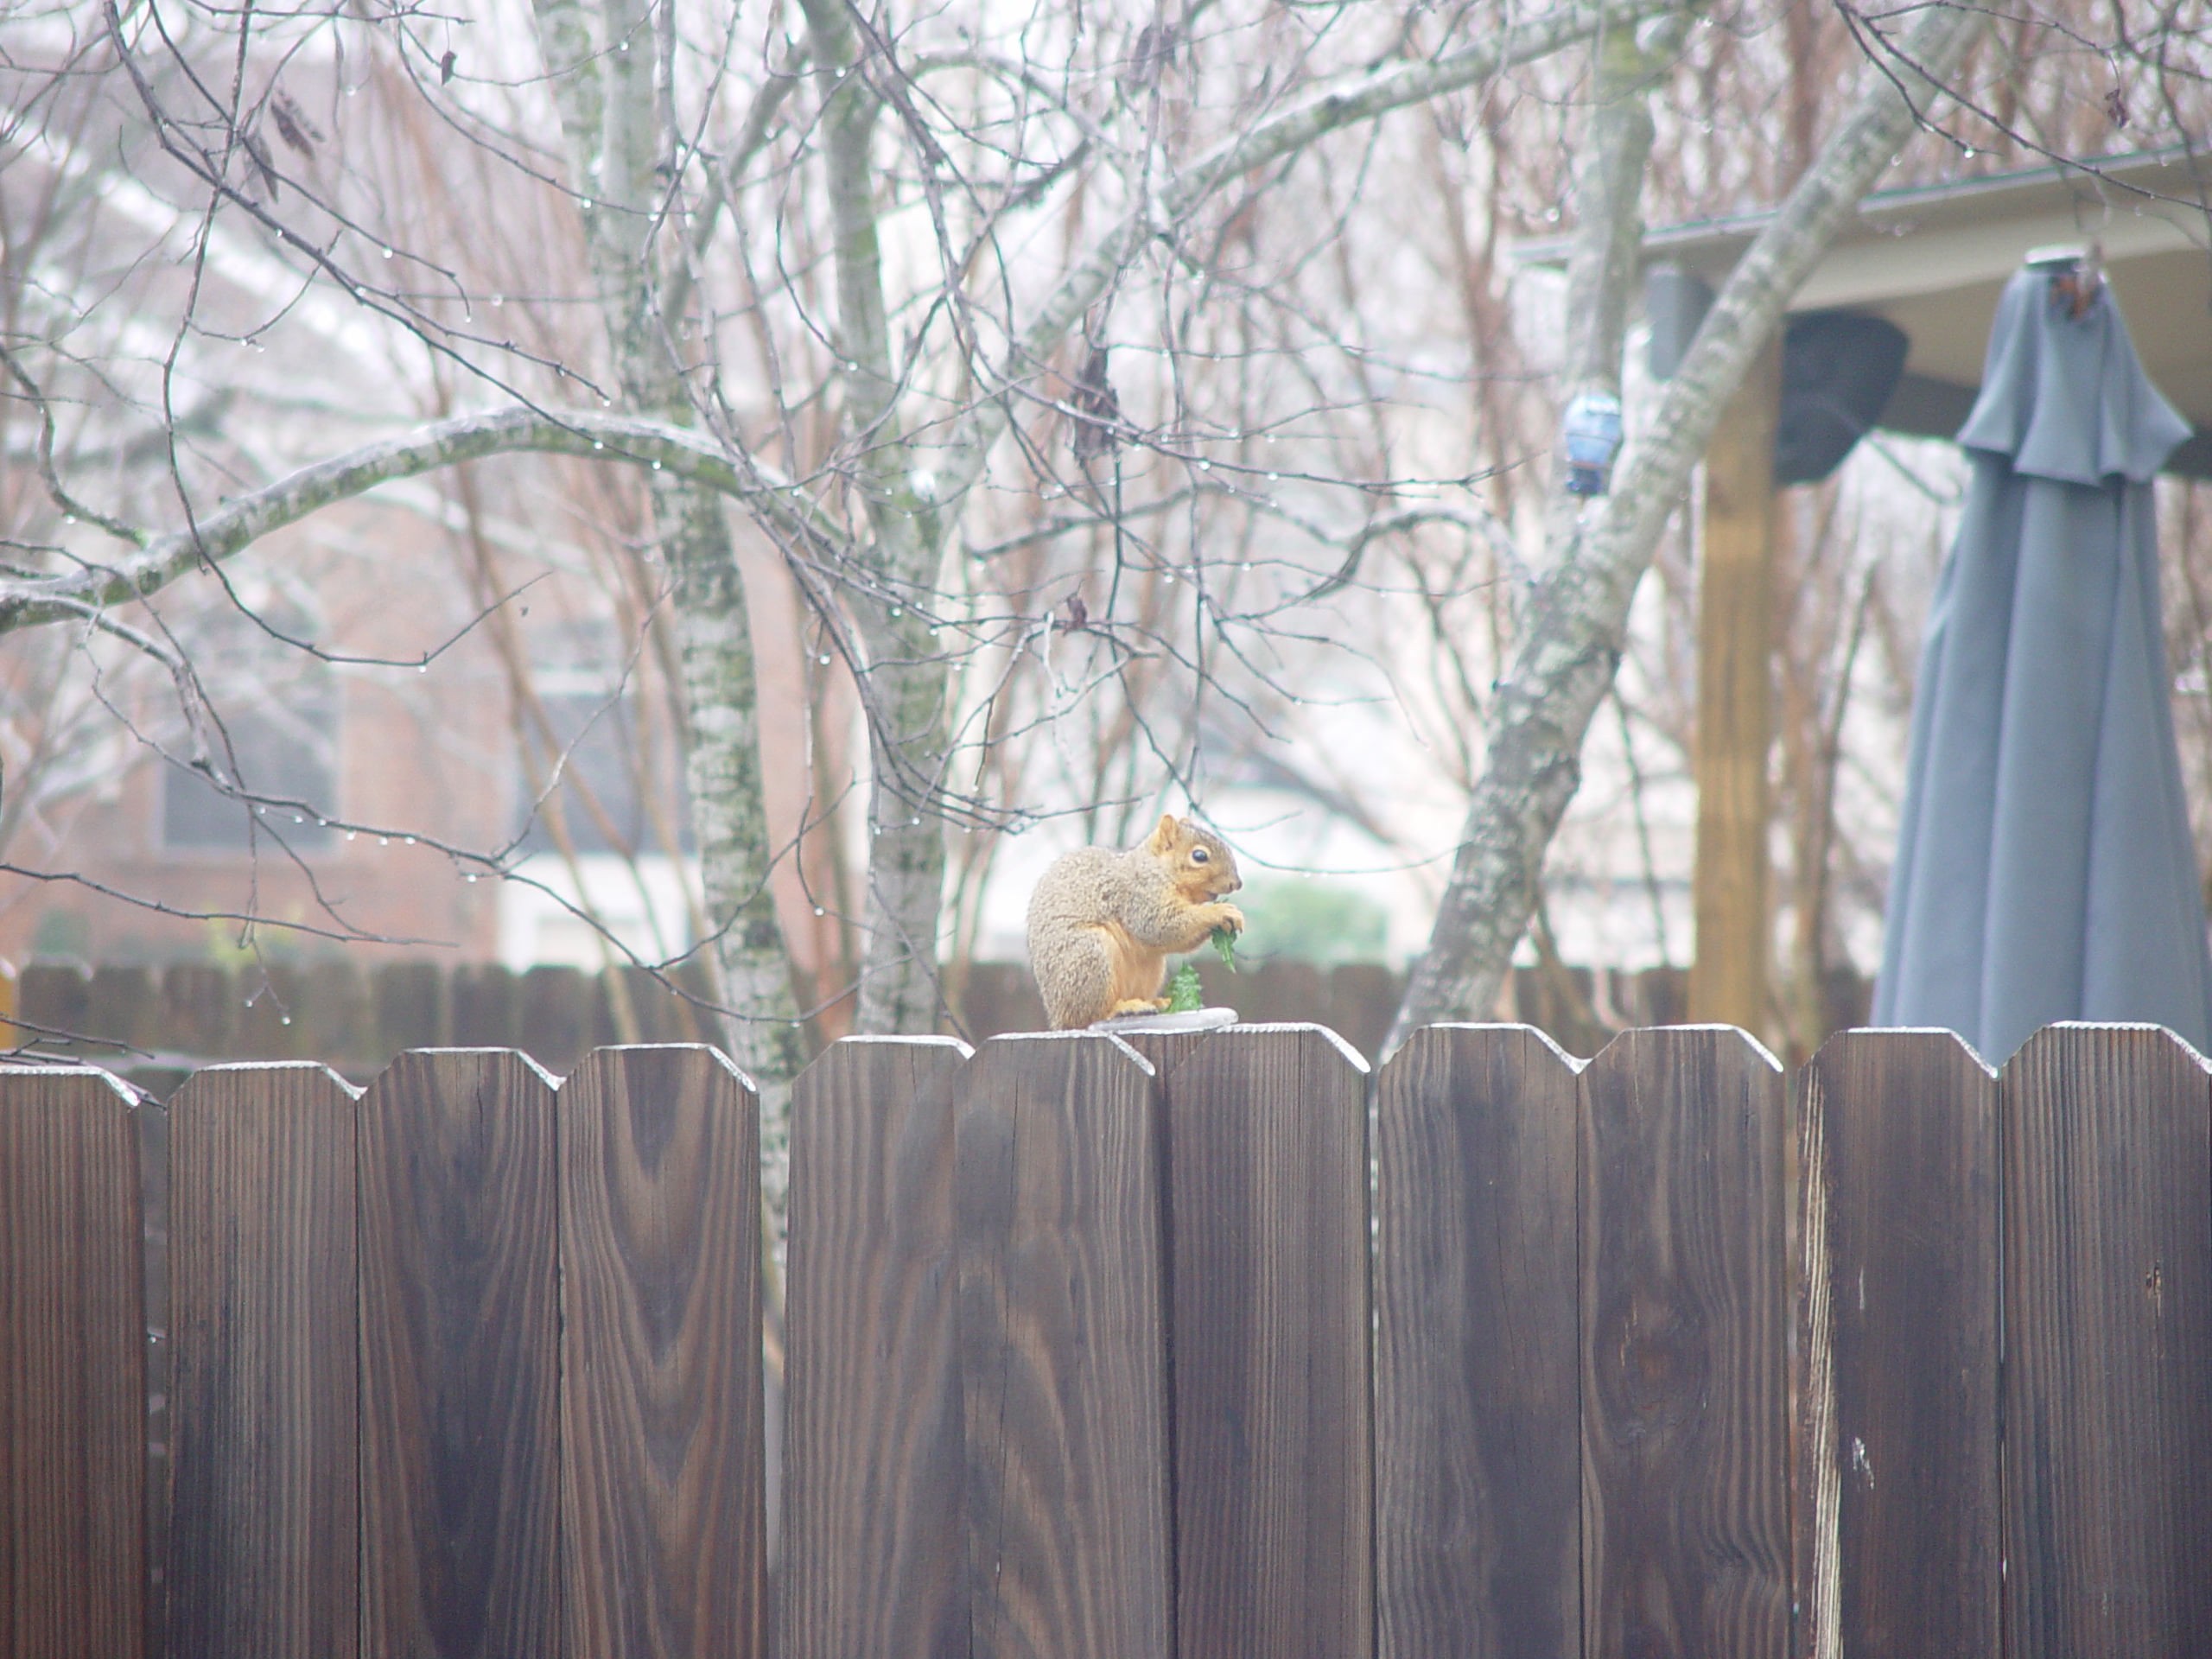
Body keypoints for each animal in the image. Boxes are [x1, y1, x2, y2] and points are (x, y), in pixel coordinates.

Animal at [1021, 814, 1247, 1035]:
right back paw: (1123, 1008)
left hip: (1150, 968)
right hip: (1090, 957)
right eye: (1199, 856)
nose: (1237, 884)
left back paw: (1156, 1003)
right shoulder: (1139, 898)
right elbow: (1161, 925)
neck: (1157, 869)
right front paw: (1220, 912)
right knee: (1087, 1016)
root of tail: (1057, 1018)